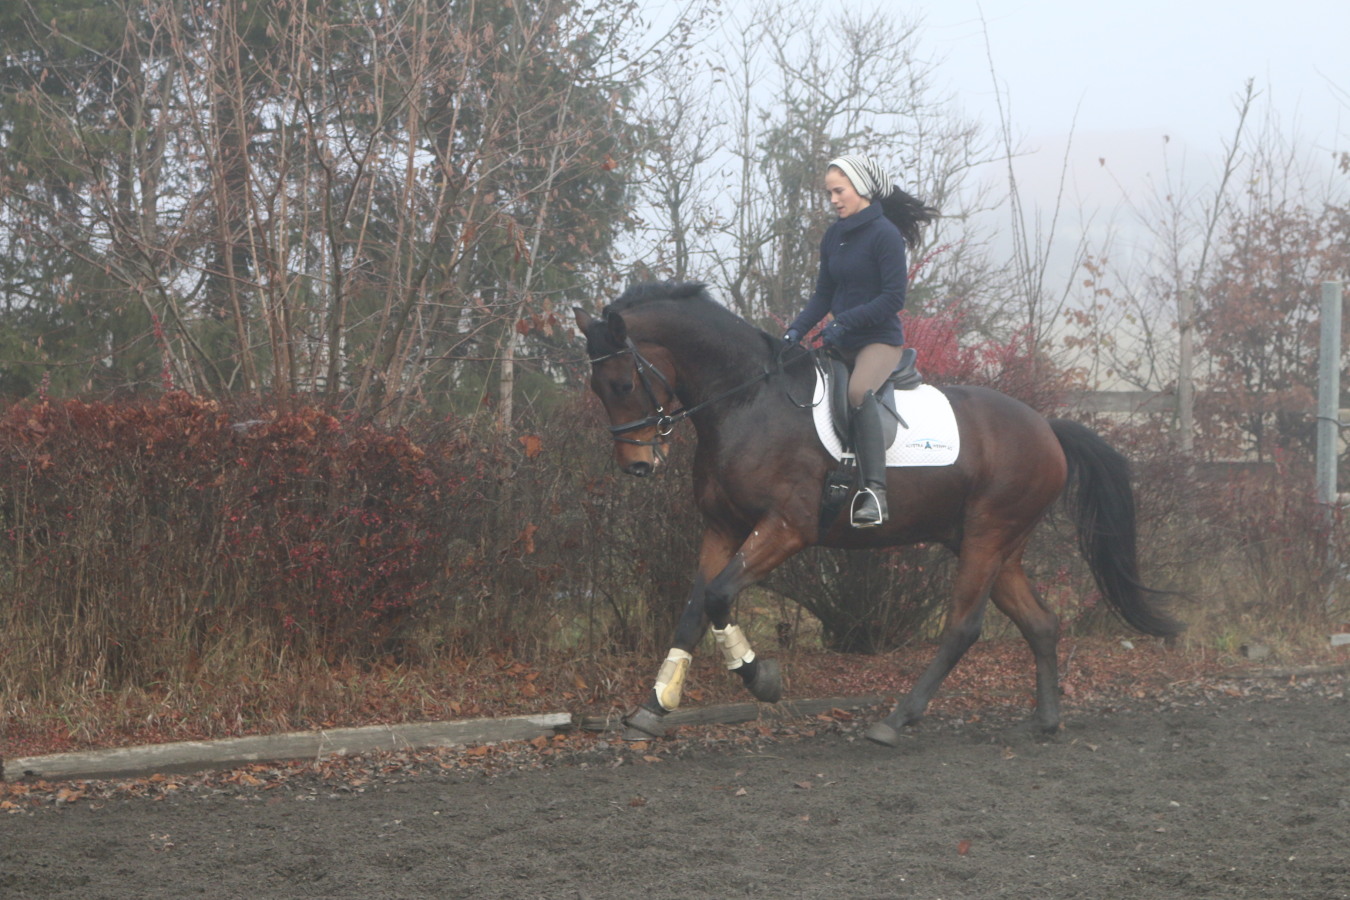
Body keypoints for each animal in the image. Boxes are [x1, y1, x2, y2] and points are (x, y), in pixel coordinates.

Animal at [575, 279, 1177, 744]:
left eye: (622, 383)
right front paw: (655, 705)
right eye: (598, 388)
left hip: (988, 536)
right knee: (1041, 623)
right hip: (996, 545)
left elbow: (721, 595)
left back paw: (896, 720)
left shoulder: (787, 528)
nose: (637, 466)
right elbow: (696, 607)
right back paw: (1046, 721)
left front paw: (761, 679)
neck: (747, 401)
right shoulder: (723, 527)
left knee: (963, 627)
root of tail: (1048, 429)